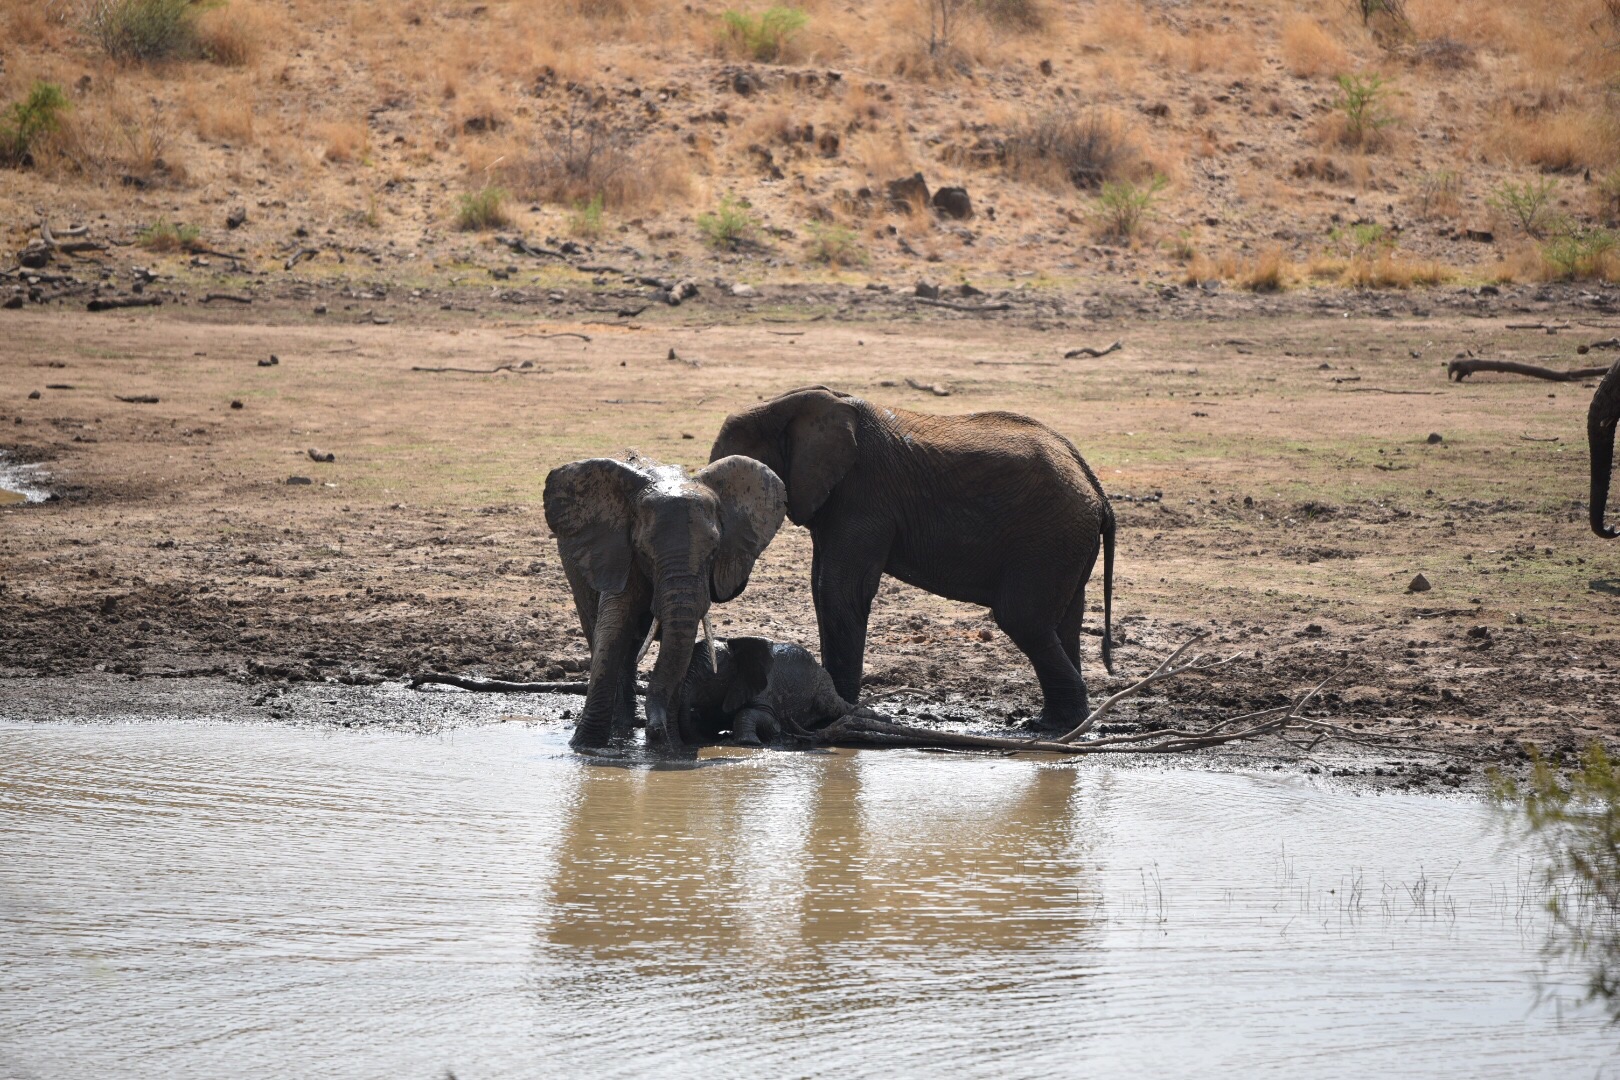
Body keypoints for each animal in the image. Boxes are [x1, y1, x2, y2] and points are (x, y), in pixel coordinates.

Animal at [541, 456, 787, 751]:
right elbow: (612, 631)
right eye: (644, 550)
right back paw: (622, 729)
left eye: (714, 551)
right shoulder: (620, 554)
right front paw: (585, 747)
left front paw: (670, 748)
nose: (655, 731)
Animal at [686, 637, 887, 748]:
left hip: (821, 683)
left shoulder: (763, 690)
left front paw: (749, 743)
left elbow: (766, 719)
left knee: (833, 706)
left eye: (708, 679)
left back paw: (883, 720)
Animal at [709, 383, 1114, 731]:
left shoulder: (864, 495)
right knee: (1064, 623)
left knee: (1022, 618)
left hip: (1048, 538)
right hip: (1064, 544)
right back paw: (1059, 723)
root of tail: (1096, 489)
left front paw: (838, 714)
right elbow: (821, 588)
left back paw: (1047, 727)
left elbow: (839, 592)